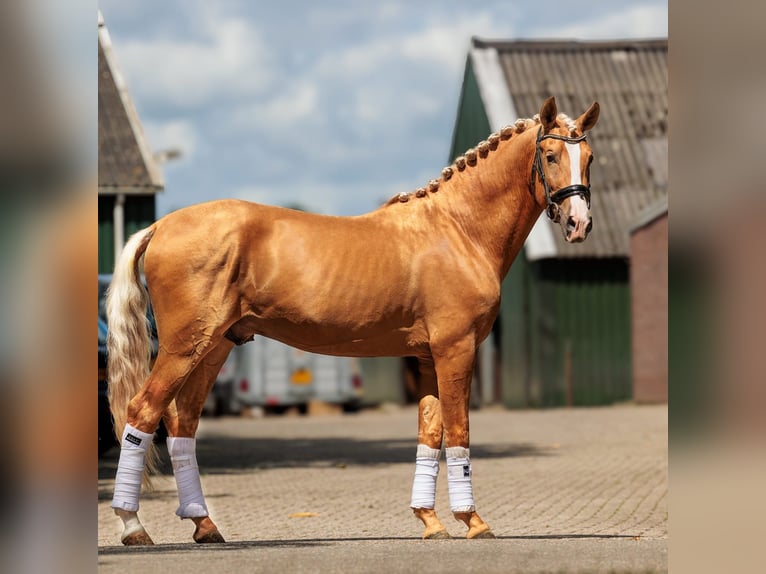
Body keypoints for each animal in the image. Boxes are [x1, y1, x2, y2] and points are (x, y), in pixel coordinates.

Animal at [106, 96, 599, 544]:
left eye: (590, 157)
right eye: (551, 156)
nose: (579, 223)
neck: (457, 230)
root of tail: (162, 226)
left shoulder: (426, 358)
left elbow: (430, 433)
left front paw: (430, 521)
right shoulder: (455, 349)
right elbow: (458, 430)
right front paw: (473, 522)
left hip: (215, 346)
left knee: (182, 424)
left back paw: (204, 526)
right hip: (183, 347)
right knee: (143, 411)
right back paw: (133, 527)